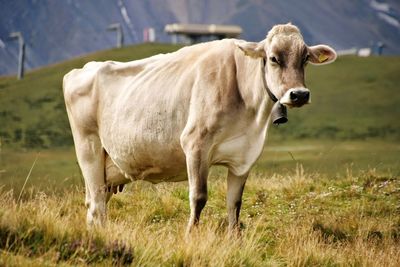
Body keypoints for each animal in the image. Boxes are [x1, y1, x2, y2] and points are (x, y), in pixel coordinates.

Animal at [64, 24, 336, 236]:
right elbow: (199, 196)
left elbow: (234, 202)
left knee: (95, 205)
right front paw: (190, 235)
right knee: (97, 205)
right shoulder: (195, 144)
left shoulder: (244, 155)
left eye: (305, 58)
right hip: (89, 151)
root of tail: (81, 69)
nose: (299, 94)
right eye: (273, 58)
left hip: (109, 169)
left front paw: (234, 239)